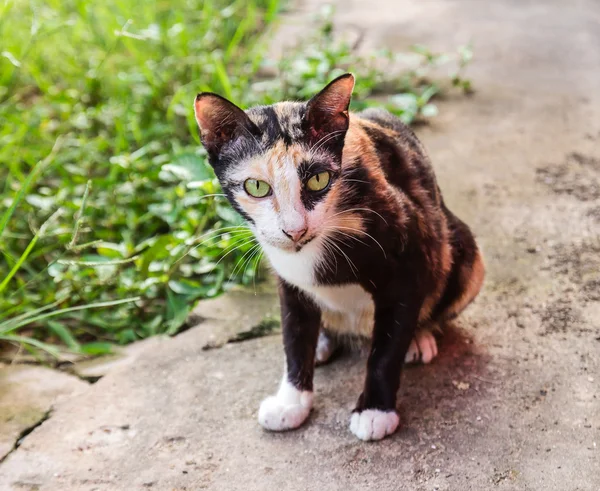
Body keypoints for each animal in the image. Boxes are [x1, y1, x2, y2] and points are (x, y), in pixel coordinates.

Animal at [195, 73, 486, 442]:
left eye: (318, 179)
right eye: (256, 187)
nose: (294, 230)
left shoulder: (412, 254)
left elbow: (387, 347)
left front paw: (375, 411)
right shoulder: (287, 282)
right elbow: (294, 335)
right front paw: (291, 402)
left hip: (464, 253)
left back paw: (418, 338)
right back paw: (322, 340)